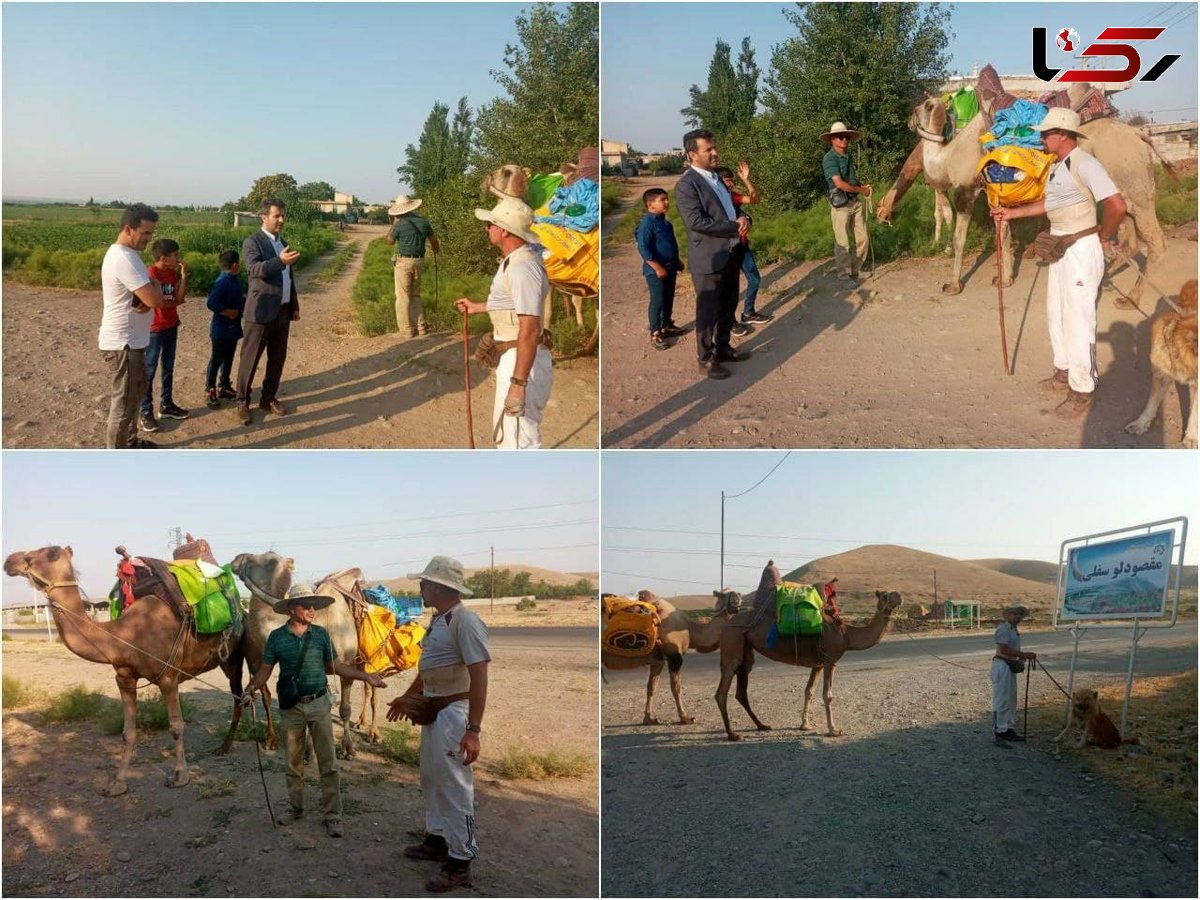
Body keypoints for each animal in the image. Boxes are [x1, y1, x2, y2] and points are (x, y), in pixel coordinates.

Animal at [2, 547, 288, 792]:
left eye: (51, 553)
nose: (10, 561)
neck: (125, 634)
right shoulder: (124, 678)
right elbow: (127, 732)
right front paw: (117, 783)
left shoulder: (168, 677)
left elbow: (176, 726)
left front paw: (180, 776)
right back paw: (229, 746)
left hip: (236, 656)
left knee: (247, 695)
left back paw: (240, 744)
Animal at [600, 592, 739, 724]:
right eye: (726, 595)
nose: (737, 596)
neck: (689, 629)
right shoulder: (674, 656)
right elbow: (676, 688)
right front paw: (685, 718)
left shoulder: (657, 661)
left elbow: (651, 688)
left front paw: (649, 719)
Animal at [710, 588, 902, 744]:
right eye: (885, 596)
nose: (899, 596)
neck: (846, 634)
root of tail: (726, 624)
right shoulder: (830, 660)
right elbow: (827, 695)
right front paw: (834, 730)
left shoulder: (818, 663)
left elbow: (808, 691)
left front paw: (805, 725)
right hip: (732, 643)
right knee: (722, 691)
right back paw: (732, 734)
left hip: (745, 650)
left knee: (741, 691)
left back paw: (762, 725)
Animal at [878, 95, 1166, 304]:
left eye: (922, 107)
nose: (908, 119)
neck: (947, 158)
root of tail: (1139, 136)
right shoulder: (995, 193)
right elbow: (1004, 234)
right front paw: (1004, 279)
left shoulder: (966, 190)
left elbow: (961, 240)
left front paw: (953, 285)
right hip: (1121, 194)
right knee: (1129, 241)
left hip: (1134, 187)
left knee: (1155, 243)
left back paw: (1131, 299)